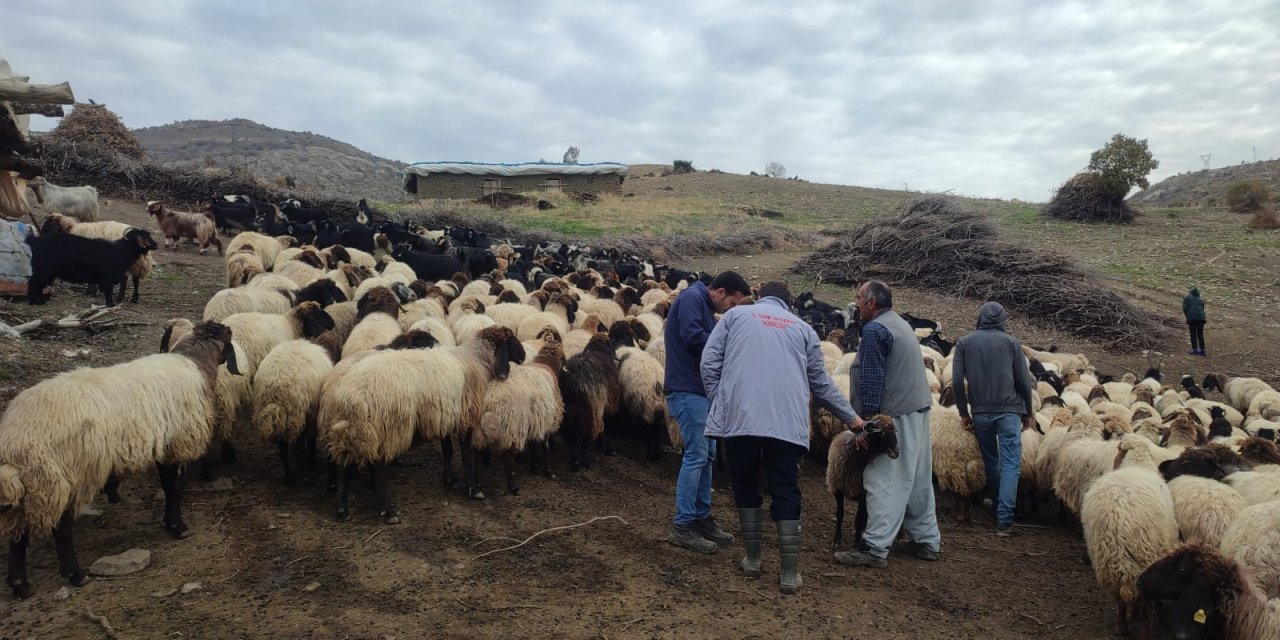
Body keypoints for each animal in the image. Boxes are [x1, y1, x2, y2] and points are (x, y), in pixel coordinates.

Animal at [0, 322, 238, 596]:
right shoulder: (181, 444)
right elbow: (176, 489)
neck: (195, 362)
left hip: (34, 484)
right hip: (67, 474)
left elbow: (168, 487)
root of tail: (16, 441)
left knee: (19, 532)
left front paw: (169, 523)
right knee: (62, 527)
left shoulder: (163, 445)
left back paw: (20, 583)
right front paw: (178, 527)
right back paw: (76, 574)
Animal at [322, 325, 527, 519]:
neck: (477, 360)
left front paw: (449, 480)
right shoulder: (465, 417)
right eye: (511, 339)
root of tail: (349, 398)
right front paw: (474, 490)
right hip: (385, 428)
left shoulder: (445, 417)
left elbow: (448, 450)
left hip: (355, 431)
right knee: (377, 468)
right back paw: (388, 512)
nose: (524, 355)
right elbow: (466, 454)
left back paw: (342, 509)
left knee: (346, 465)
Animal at [824, 417, 896, 547]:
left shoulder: (864, 495)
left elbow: (859, 519)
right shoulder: (838, 489)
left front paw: (858, 542)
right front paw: (837, 539)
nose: (897, 452)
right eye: (881, 433)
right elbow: (840, 514)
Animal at [1080, 465, 1177, 640]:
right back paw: (1146, 632)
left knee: (1119, 599)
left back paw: (1122, 628)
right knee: (1147, 600)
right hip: (1145, 561)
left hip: (1108, 566)